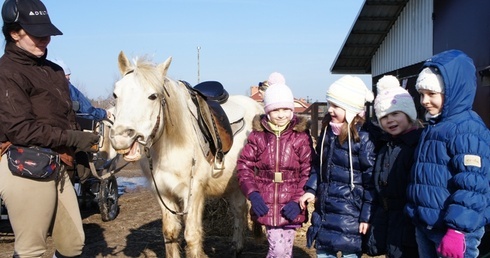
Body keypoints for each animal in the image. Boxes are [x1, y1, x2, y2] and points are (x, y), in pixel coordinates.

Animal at [109, 51, 264, 256]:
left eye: (153, 96)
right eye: (115, 94)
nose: (121, 138)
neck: (168, 148)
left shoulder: (194, 192)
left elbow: (192, 236)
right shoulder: (163, 193)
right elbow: (170, 233)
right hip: (235, 182)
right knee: (239, 210)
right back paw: (236, 248)